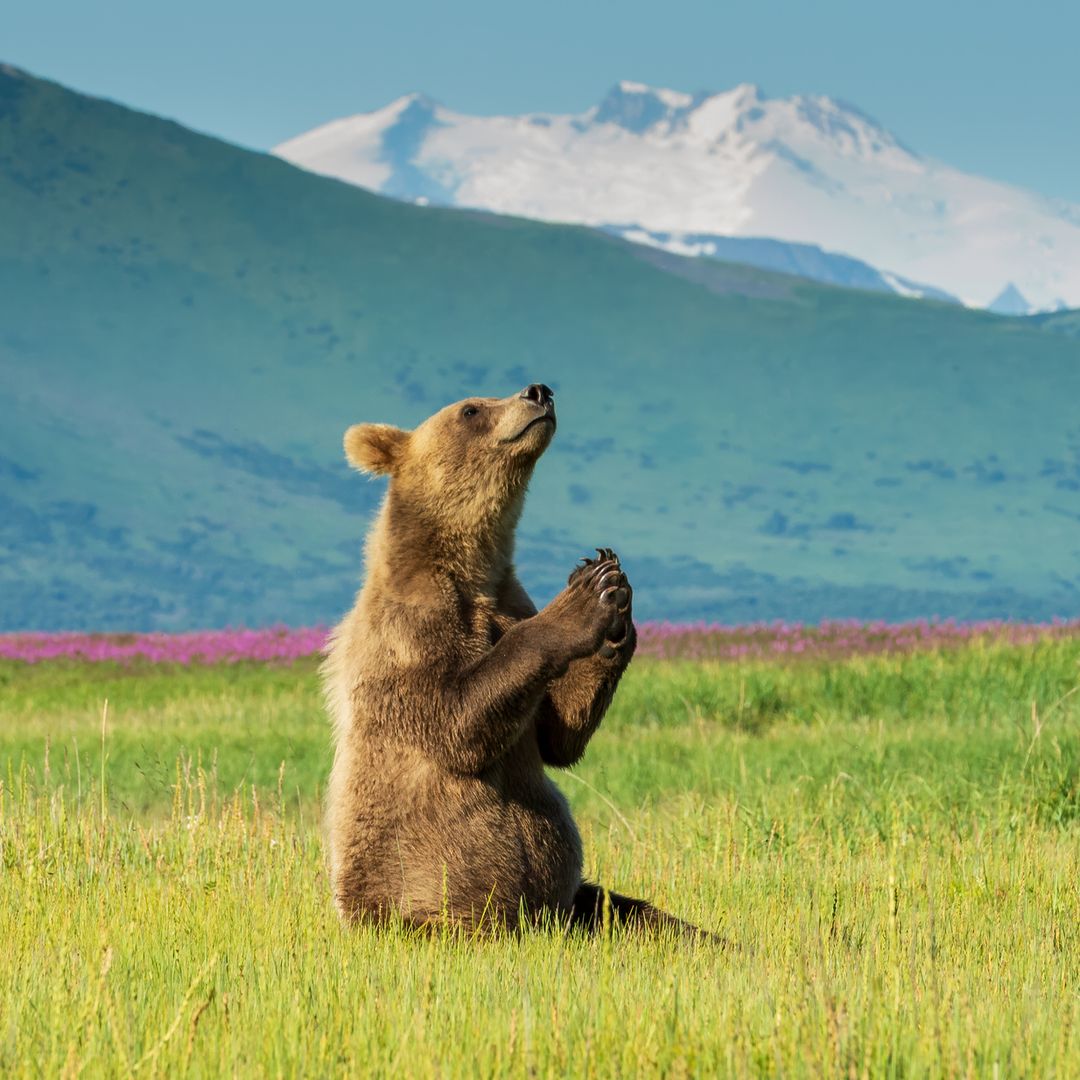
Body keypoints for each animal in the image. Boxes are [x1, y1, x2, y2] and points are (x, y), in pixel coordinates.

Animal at [322, 382, 703, 936]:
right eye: (470, 409)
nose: (538, 391)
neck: (473, 572)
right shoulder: (409, 629)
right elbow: (456, 717)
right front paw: (583, 599)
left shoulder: (508, 600)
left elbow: (556, 735)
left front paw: (611, 587)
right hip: (425, 905)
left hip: (577, 905)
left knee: (635, 914)